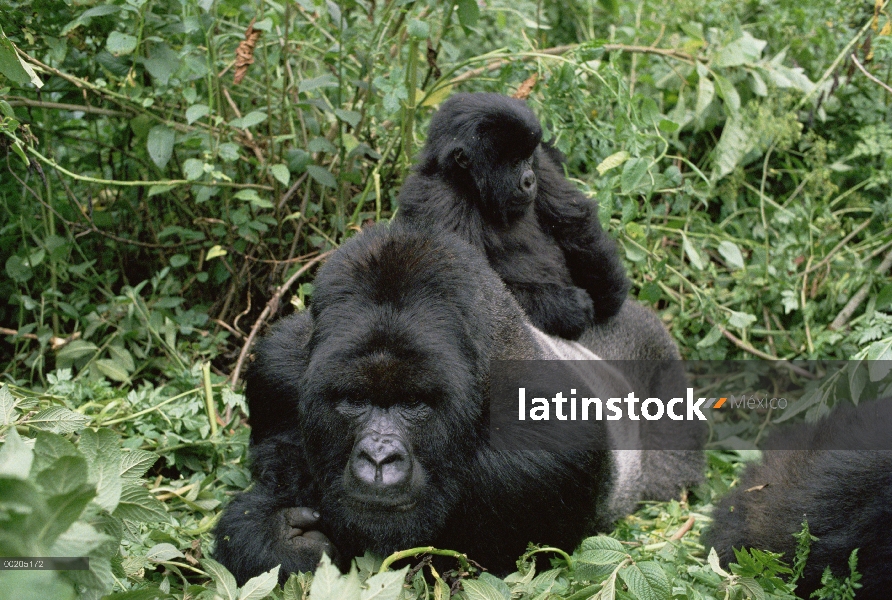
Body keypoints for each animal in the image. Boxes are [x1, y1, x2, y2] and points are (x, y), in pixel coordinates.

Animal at [213, 223, 700, 584]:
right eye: (355, 399)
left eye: (414, 402)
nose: (378, 459)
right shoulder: (280, 369)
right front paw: (280, 538)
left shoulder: (548, 450)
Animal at [398, 91, 628, 340]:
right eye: (513, 161)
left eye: (527, 157)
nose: (529, 180)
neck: (470, 185)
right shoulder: (440, 199)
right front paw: (572, 307)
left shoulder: (542, 164)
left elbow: (574, 217)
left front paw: (608, 292)